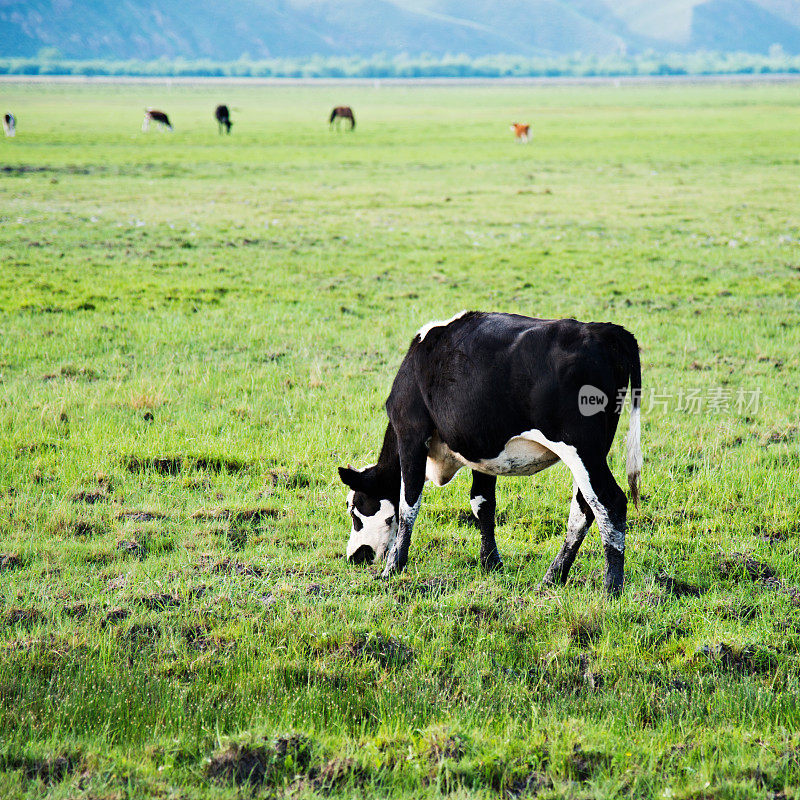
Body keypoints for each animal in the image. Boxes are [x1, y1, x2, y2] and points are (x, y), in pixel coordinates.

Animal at [340, 310, 640, 592]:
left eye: (355, 510)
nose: (354, 557)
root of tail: (604, 331)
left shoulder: (411, 434)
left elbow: (408, 505)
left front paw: (393, 568)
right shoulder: (481, 451)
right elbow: (482, 502)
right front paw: (490, 562)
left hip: (581, 449)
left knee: (609, 502)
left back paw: (611, 587)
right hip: (593, 453)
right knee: (584, 508)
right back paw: (552, 577)